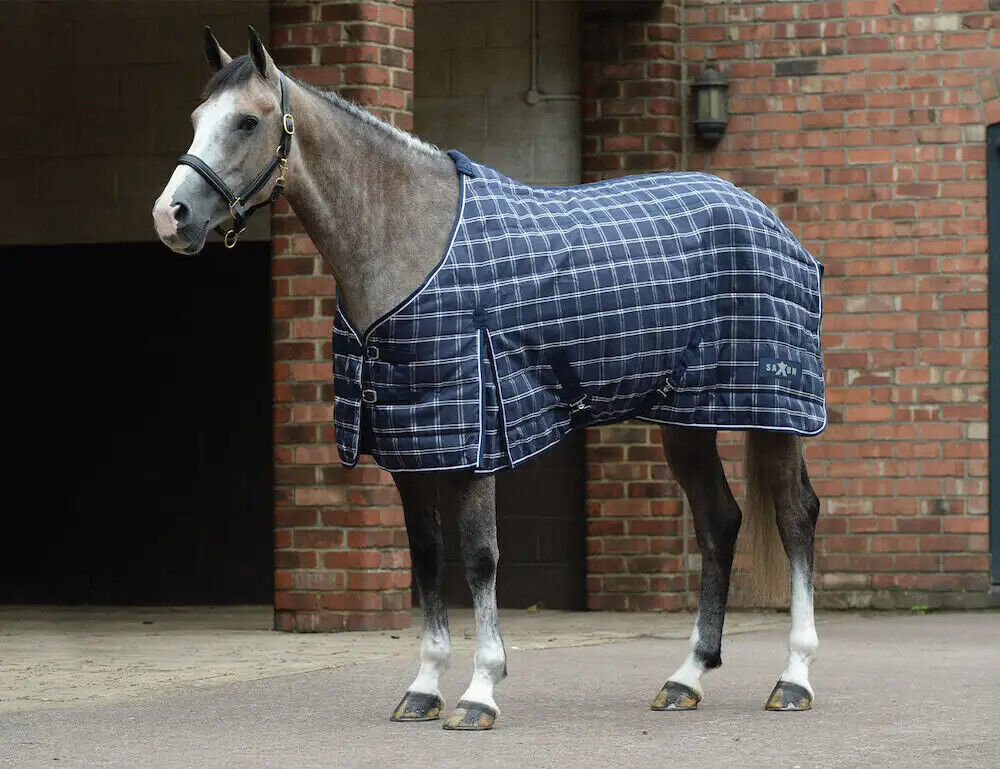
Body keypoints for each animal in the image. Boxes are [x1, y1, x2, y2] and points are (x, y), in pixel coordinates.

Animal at [153, 27, 824, 730]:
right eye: (197, 118)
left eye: (248, 121)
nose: (170, 217)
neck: (410, 242)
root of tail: (766, 218)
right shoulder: (411, 444)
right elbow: (426, 558)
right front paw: (423, 689)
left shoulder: (474, 434)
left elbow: (479, 558)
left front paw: (480, 691)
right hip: (686, 416)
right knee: (719, 521)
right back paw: (686, 677)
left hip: (776, 411)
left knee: (796, 516)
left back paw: (794, 678)